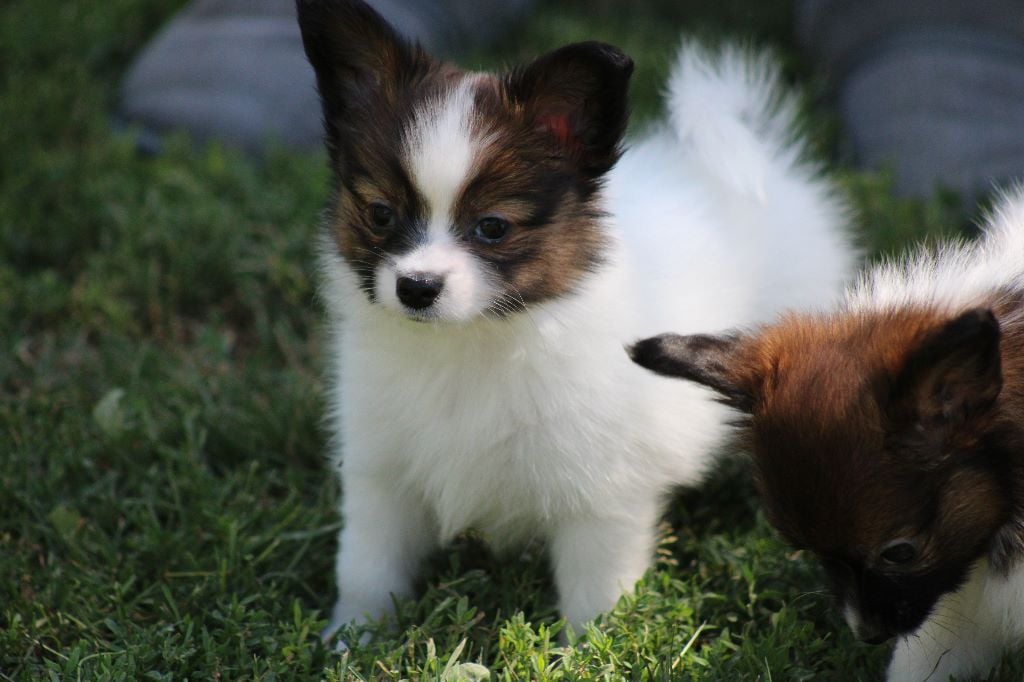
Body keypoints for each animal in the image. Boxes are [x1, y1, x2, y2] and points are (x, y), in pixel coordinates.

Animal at [299, 0, 856, 638]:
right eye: (380, 214)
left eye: (492, 227)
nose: (416, 288)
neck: (471, 344)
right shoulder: (381, 472)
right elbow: (368, 565)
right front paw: (353, 638)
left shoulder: (601, 496)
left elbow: (595, 593)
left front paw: (589, 647)